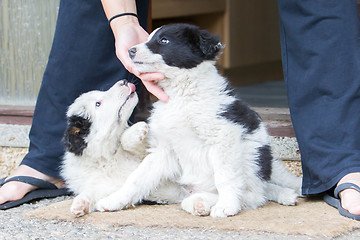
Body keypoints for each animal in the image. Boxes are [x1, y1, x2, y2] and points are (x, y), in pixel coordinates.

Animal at [60, 80, 184, 218]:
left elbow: (128, 141)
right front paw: (80, 203)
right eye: (98, 104)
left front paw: (136, 131)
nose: (124, 81)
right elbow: (94, 192)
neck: (108, 157)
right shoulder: (106, 184)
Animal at [94, 23, 302, 218]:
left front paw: (227, 206)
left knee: (254, 194)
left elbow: (225, 176)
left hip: (254, 155)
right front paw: (113, 201)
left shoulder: (223, 136)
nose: (130, 50)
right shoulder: (164, 149)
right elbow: (137, 179)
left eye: (164, 41)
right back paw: (199, 202)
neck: (182, 94)